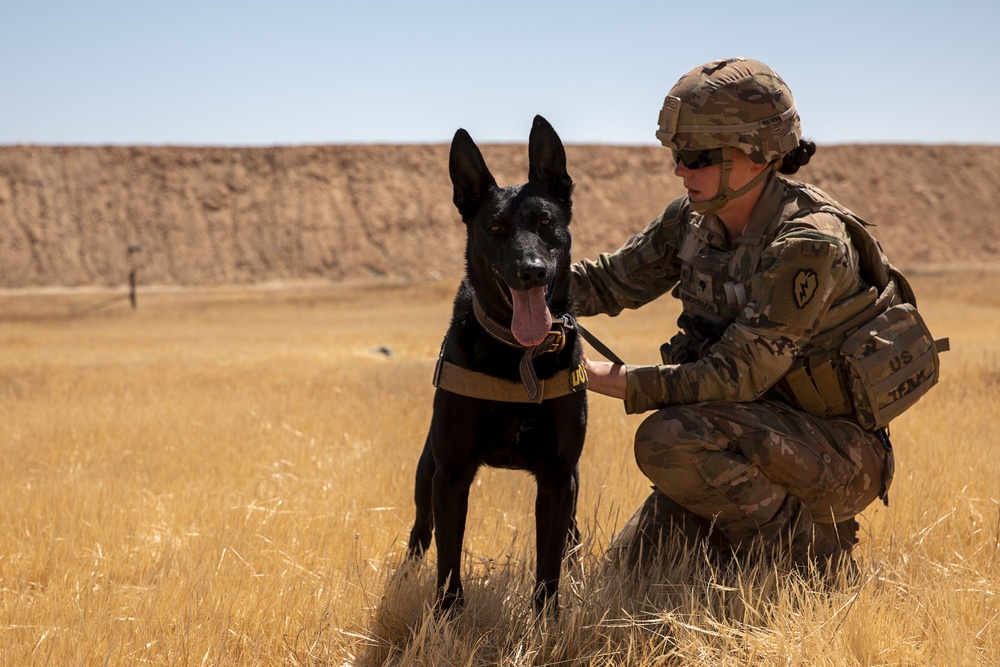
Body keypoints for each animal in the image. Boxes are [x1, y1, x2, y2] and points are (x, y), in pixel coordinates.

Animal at [408, 116, 584, 616]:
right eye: (494, 227)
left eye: (545, 222)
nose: (532, 270)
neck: (517, 354)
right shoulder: (450, 475)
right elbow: (448, 564)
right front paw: (446, 620)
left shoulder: (558, 476)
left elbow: (549, 565)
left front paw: (548, 620)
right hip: (426, 472)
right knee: (419, 532)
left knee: (572, 537)